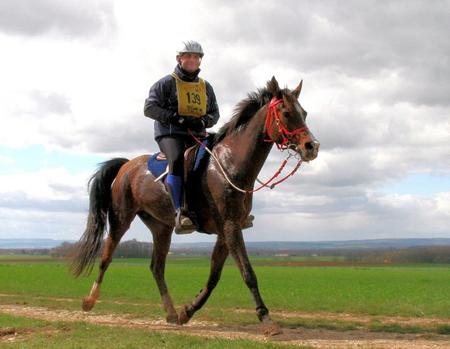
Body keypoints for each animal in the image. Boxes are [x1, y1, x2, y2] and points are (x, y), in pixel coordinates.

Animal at [71, 77, 320, 334]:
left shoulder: (226, 230)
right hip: (121, 219)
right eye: (286, 113)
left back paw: (171, 313)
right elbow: (248, 272)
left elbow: (214, 275)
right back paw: (89, 301)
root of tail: (126, 166)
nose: (311, 146)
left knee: (157, 267)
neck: (229, 164)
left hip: (161, 227)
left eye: (304, 113)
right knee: (106, 257)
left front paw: (187, 311)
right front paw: (266, 319)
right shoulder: (230, 227)